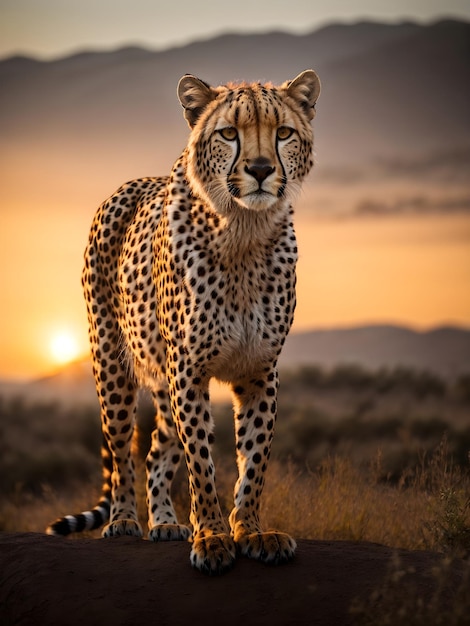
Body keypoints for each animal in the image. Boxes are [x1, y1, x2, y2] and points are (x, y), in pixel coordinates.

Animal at [46, 70, 320, 572]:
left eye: (283, 133)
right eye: (228, 133)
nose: (259, 169)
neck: (243, 232)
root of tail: (131, 184)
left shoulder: (259, 372)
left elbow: (254, 461)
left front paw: (251, 531)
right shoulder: (189, 371)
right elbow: (202, 464)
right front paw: (211, 537)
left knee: (156, 451)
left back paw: (165, 522)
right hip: (112, 367)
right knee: (122, 450)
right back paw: (124, 520)